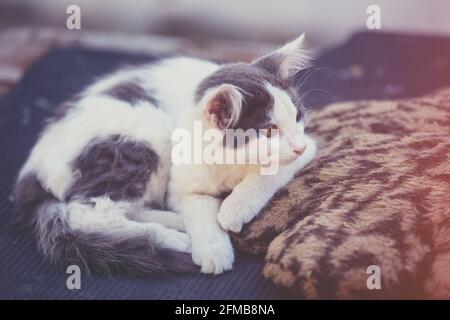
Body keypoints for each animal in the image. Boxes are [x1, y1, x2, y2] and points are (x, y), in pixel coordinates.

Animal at [14, 34, 316, 276]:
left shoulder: (310, 145)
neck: (231, 161)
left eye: (298, 115)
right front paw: (213, 248)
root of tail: (32, 167)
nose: (297, 145)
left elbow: (273, 170)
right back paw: (172, 238)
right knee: (87, 213)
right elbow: (198, 208)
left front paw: (234, 208)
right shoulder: (183, 186)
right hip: (144, 138)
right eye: (269, 130)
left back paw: (174, 222)